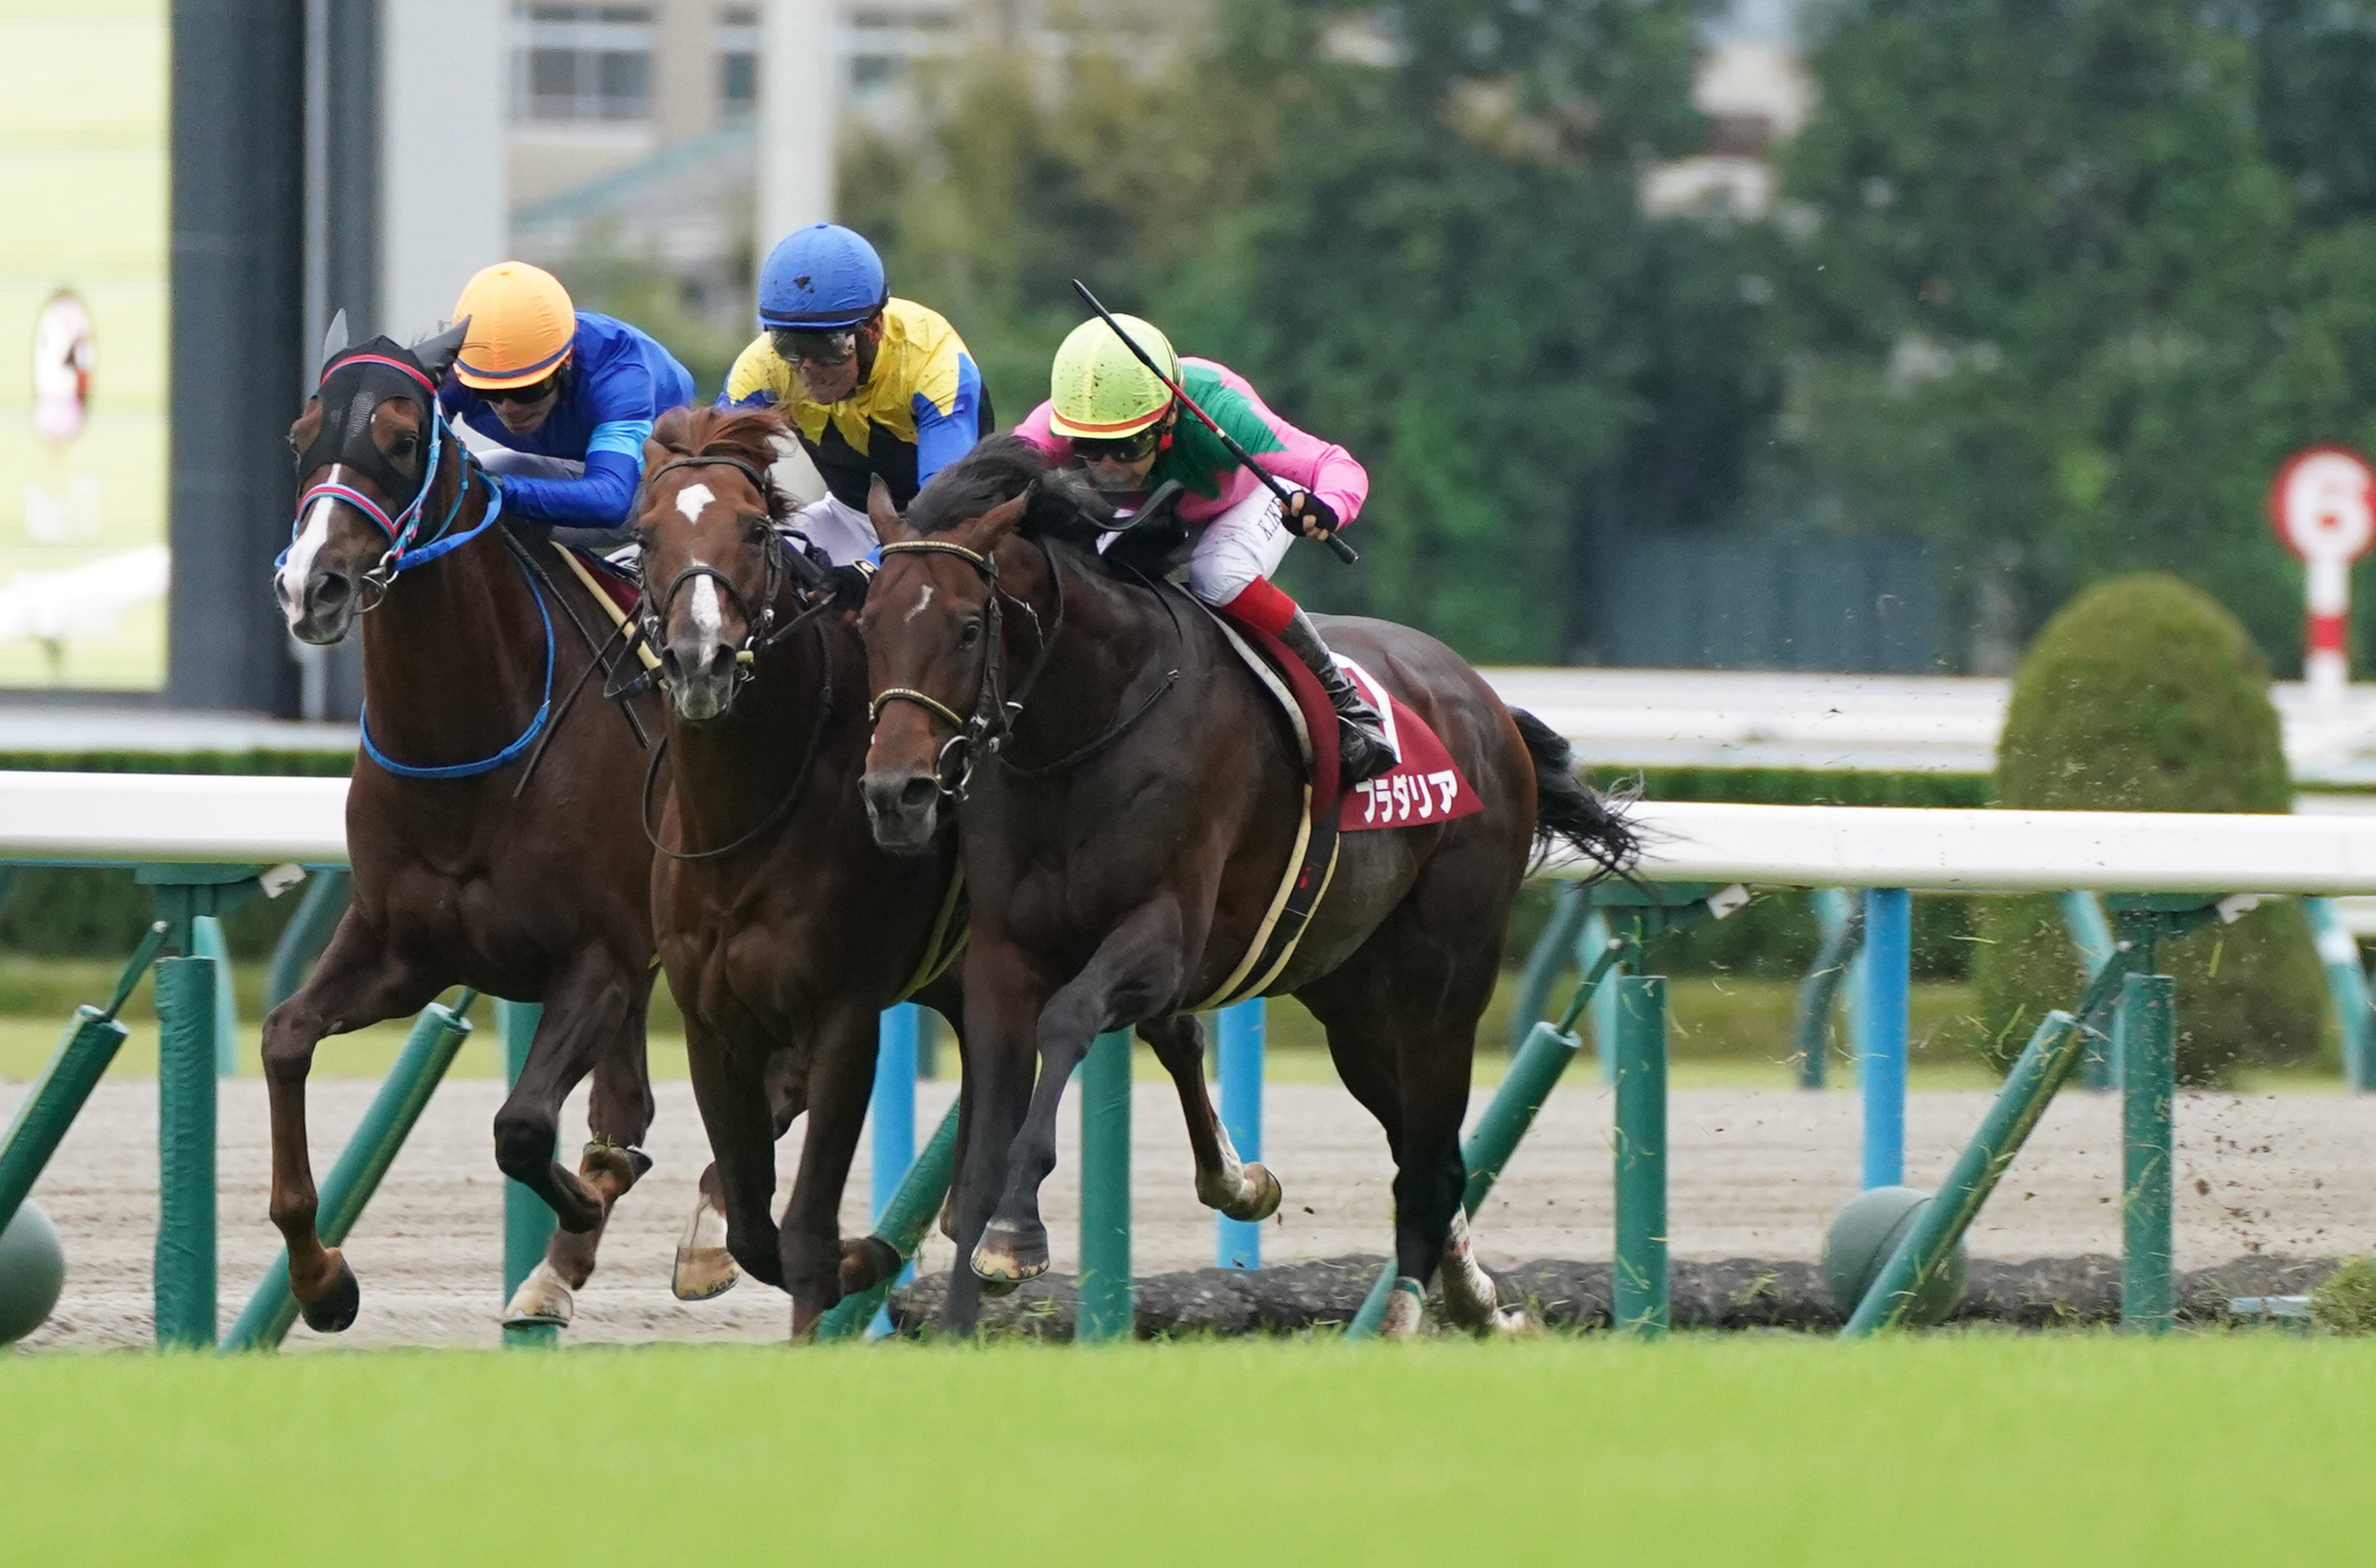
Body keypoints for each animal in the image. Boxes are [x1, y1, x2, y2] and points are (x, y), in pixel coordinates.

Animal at [855, 437, 1634, 1340]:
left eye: (970, 626)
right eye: (868, 622)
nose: (896, 793)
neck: (1083, 727)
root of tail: (1486, 700)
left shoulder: (1165, 935)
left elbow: (1071, 1019)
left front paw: (1018, 1236)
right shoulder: (1003, 956)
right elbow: (983, 1146)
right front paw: (956, 1319)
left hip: (1444, 984)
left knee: (1431, 1162)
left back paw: (1408, 1319)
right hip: (1351, 1002)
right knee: (1420, 1143)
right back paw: (1473, 1301)